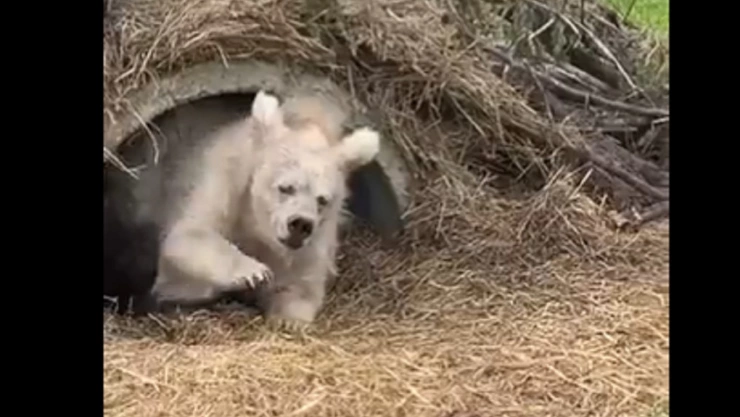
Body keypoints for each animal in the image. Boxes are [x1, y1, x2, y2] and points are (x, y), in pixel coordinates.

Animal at [147, 90, 381, 325]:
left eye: (322, 199)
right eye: (285, 187)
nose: (300, 224)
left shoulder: (315, 240)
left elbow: (300, 285)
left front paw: (288, 318)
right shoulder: (224, 180)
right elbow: (188, 235)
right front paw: (254, 273)